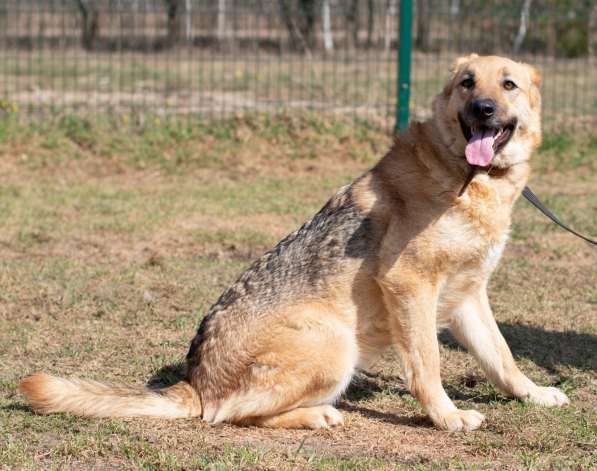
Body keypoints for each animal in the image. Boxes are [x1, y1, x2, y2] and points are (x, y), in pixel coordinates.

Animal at [18, 54, 568, 432]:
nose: (483, 108)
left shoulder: (468, 298)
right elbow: (428, 366)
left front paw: (536, 394)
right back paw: (316, 415)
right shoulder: (410, 286)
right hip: (334, 344)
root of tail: (197, 382)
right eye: (467, 83)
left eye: (509, 84)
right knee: (225, 414)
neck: (469, 178)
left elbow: (503, 360)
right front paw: (448, 418)